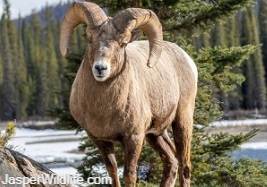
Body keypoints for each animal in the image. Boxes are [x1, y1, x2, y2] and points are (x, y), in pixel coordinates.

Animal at [60, 1, 198, 187]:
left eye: (123, 43)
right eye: (90, 39)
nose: (100, 68)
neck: (104, 111)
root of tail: (187, 59)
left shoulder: (134, 137)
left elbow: (129, 175)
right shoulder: (100, 139)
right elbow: (112, 172)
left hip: (182, 121)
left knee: (185, 165)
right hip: (155, 134)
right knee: (171, 161)